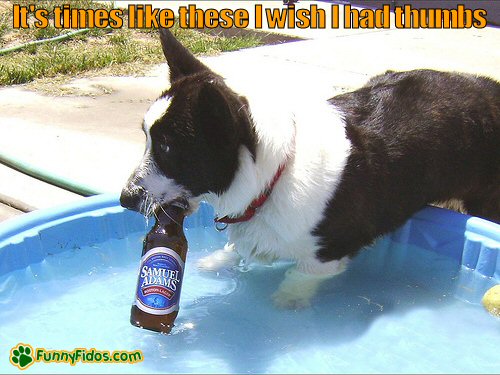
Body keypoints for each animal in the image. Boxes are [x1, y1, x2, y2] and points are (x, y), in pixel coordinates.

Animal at [119, 29, 498, 310]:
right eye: (146, 138)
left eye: (168, 148)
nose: (124, 199)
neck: (272, 177)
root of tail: (488, 87)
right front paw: (214, 262)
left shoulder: (326, 256)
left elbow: (298, 277)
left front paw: (286, 300)